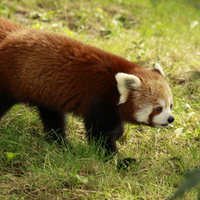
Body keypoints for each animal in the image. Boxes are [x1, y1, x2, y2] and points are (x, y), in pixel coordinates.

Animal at [0, 17, 173, 161]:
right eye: (158, 108)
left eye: (170, 106)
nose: (171, 119)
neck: (112, 85)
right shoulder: (98, 100)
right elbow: (100, 135)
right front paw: (117, 161)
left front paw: (118, 135)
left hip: (46, 92)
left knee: (53, 118)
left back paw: (60, 143)